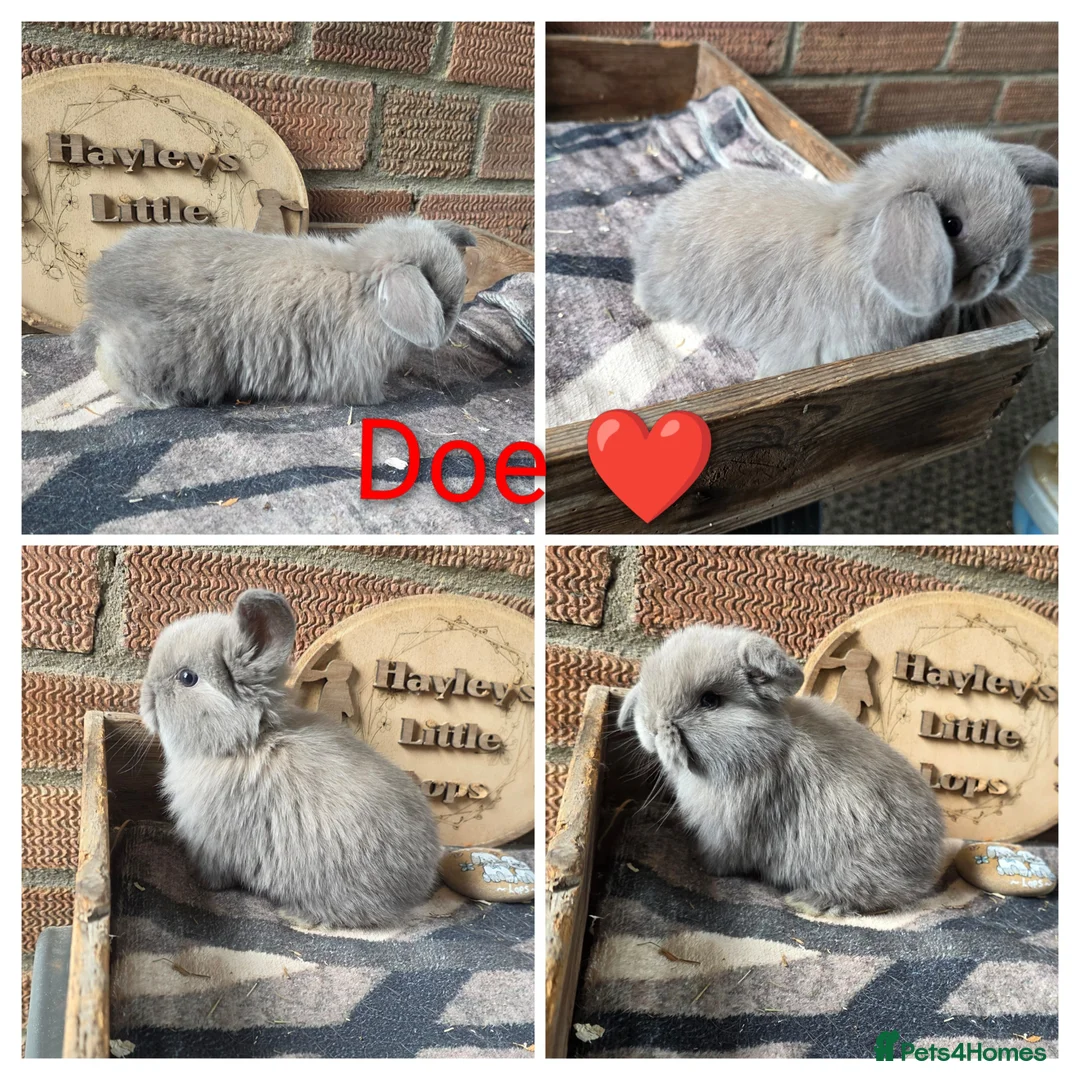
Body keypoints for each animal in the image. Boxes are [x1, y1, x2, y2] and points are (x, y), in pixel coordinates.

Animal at [139, 589, 443, 928]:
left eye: (187, 677)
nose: (145, 696)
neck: (247, 741)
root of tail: (416, 890)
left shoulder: (213, 845)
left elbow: (214, 876)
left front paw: (201, 883)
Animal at [616, 625, 945, 915]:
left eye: (710, 700)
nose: (651, 726)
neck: (760, 743)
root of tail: (929, 862)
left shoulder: (726, 830)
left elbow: (720, 860)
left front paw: (702, 865)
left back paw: (809, 901)